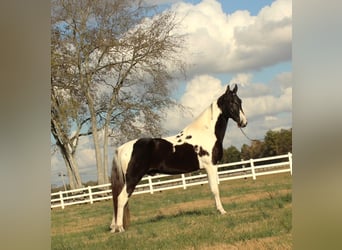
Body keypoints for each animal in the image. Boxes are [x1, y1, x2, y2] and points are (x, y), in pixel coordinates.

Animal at [111, 84, 247, 232]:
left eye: (240, 102)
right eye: (232, 102)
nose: (244, 122)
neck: (206, 132)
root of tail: (122, 148)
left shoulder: (207, 168)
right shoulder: (211, 166)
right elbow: (215, 189)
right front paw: (221, 211)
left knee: (118, 199)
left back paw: (113, 227)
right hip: (133, 178)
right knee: (122, 198)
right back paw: (120, 228)